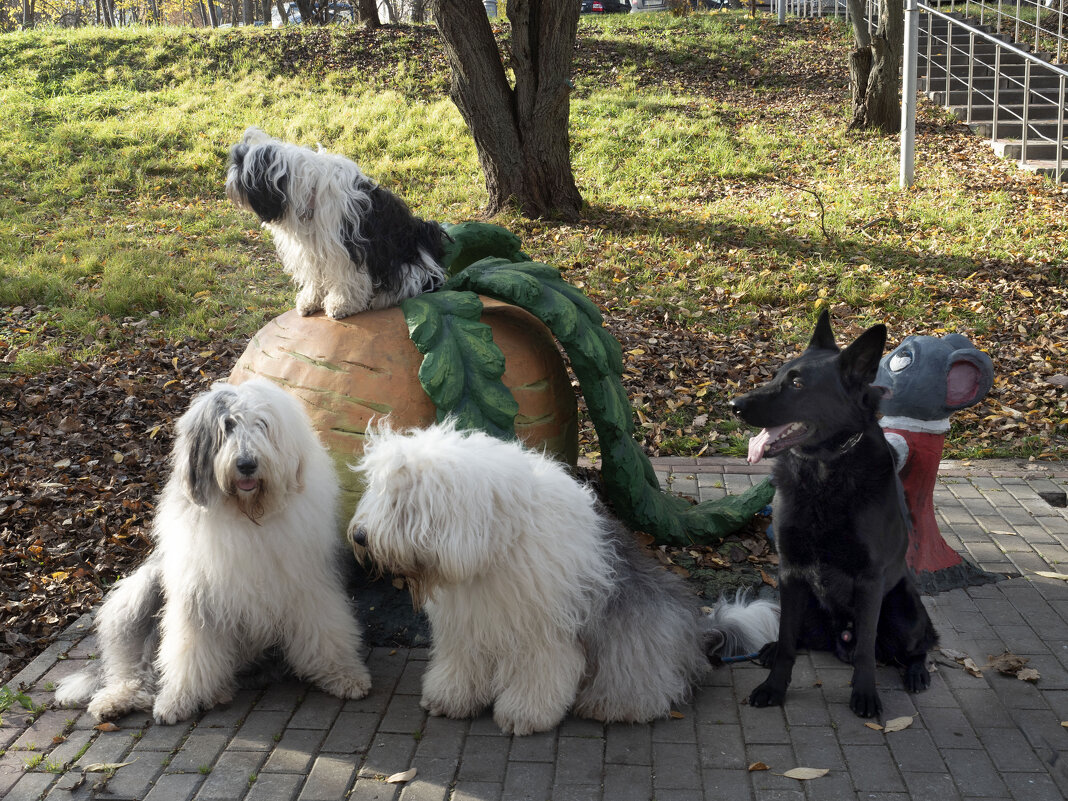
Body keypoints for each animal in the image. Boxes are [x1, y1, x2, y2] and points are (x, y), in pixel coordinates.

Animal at [55, 380, 371, 726]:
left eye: (262, 424)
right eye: (228, 426)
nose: (246, 464)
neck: (249, 516)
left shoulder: (309, 585)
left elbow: (325, 632)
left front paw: (345, 676)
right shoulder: (197, 594)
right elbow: (188, 652)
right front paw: (177, 700)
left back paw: (218, 692)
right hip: (140, 591)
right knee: (136, 665)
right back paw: (118, 699)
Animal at [223, 125, 444, 320]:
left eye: (240, 166)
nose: (229, 186)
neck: (309, 194)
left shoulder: (346, 249)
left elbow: (346, 279)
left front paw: (341, 305)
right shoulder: (311, 250)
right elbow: (314, 276)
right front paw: (310, 301)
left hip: (407, 264)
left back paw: (384, 298)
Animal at [350, 422, 777, 739]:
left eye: (401, 502)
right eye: (379, 492)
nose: (358, 536)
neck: (495, 542)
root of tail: (699, 634)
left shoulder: (542, 631)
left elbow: (540, 672)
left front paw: (523, 714)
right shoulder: (468, 624)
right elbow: (461, 663)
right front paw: (449, 698)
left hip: (639, 631)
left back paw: (615, 705)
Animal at [730, 309, 939, 717]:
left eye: (797, 384)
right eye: (777, 375)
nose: (735, 404)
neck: (823, 473)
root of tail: (839, 636)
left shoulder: (870, 581)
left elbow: (866, 652)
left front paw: (866, 694)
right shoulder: (791, 572)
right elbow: (788, 642)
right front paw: (774, 687)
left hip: (903, 611)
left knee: (918, 646)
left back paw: (917, 672)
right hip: (806, 603)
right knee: (799, 639)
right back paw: (771, 649)